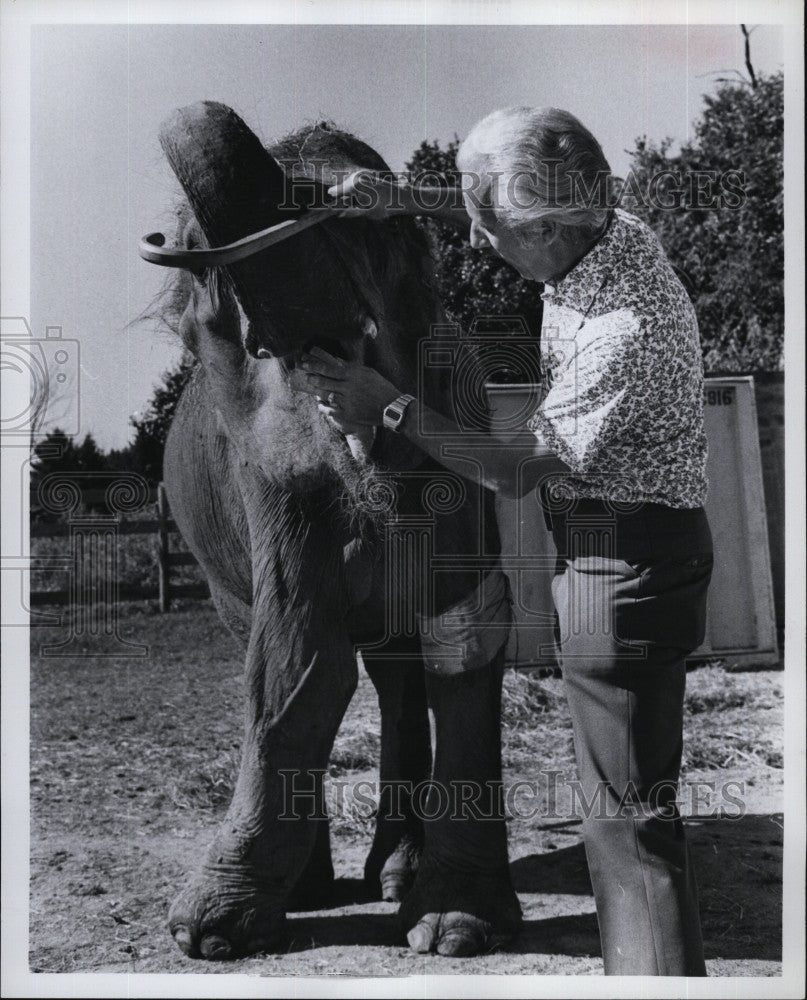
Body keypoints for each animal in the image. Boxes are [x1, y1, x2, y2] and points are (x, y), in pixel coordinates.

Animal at [156, 101, 524, 960]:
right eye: (209, 330)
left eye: (394, 243)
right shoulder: (261, 470)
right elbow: (295, 653)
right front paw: (207, 932)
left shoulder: (462, 431)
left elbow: (466, 633)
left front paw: (455, 926)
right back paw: (312, 890)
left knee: (402, 672)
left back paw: (395, 876)